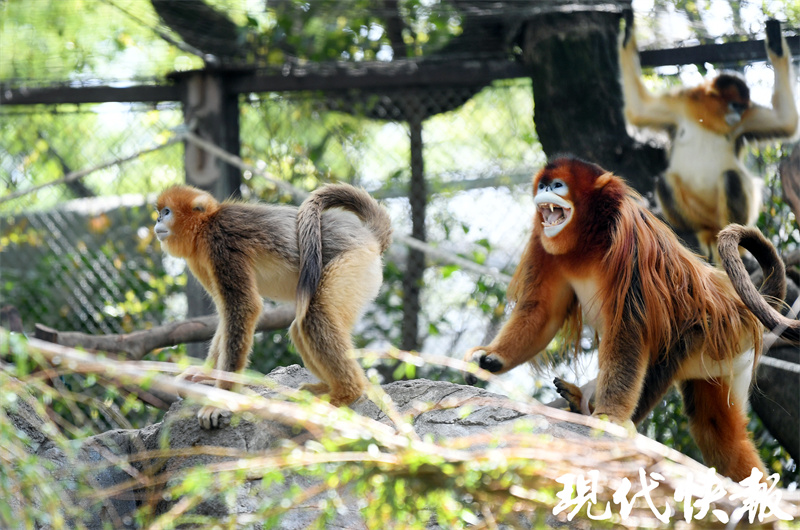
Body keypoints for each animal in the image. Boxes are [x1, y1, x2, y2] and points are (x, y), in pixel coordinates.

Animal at [155, 184, 392, 426]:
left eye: (166, 212)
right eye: (160, 212)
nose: (157, 220)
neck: (206, 225)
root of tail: (369, 237)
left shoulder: (220, 243)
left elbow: (244, 307)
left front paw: (220, 401)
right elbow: (227, 313)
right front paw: (207, 374)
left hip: (354, 263)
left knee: (312, 317)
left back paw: (347, 393)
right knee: (300, 327)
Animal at [466, 156, 784, 478]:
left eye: (557, 185)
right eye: (542, 185)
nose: (544, 192)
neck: (586, 238)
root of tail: (739, 305)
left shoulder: (629, 242)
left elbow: (628, 328)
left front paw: (610, 417)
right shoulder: (543, 241)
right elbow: (542, 311)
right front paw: (491, 359)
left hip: (719, 331)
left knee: (669, 350)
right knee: (719, 433)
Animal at [620, 17, 796, 260]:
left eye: (743, 108)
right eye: (735, 105)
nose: (737, 115)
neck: (708, 117)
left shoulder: (746, 120)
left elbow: (786, 121)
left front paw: (776, 45)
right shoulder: (681, 103)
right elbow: (638, 110)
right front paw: (627, 33)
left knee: (731, 177)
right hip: (700, 213)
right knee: (664, 181)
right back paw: (703, 233)